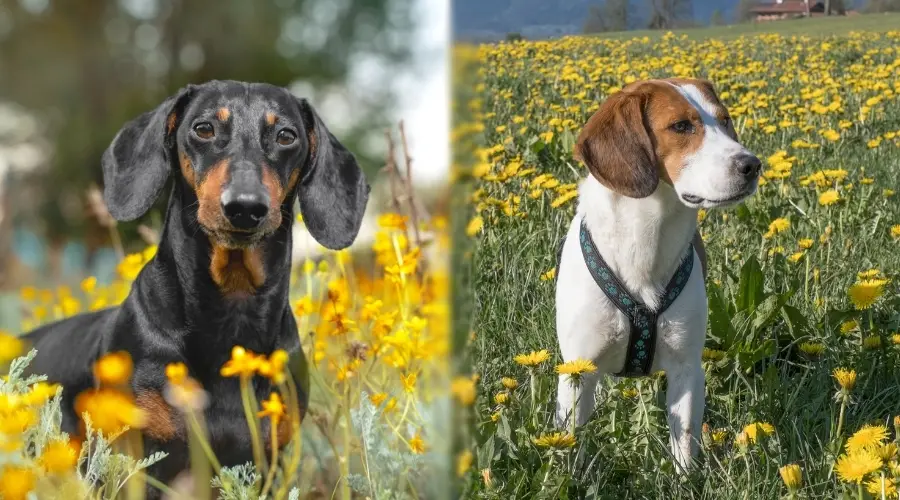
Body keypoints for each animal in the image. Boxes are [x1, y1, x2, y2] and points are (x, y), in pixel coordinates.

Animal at [556, 80, 760, 470]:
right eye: (681, 126)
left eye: (725, 120)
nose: (753, 164)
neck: (646, 238)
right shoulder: (576, 371)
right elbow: (568, 446)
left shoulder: (686, 367)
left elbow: (684, 442)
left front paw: (686, 477)